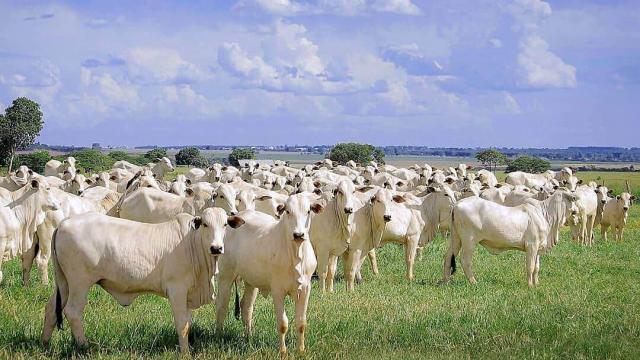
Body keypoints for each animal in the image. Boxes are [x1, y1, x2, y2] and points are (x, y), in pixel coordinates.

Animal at [40, 208, 245, 352]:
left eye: (225, 225)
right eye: (205, 224)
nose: (216, 248)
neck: (192, 243)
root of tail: (64, 223)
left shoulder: (187, 295)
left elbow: (188, 323)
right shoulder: (177, 290)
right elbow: (182, 324)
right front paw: (185, 353)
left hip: (64, 283)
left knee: (51, 309)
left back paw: (45, 343)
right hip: (80, 283)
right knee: (73, 311)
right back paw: (84, 346)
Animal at [216, 194, 324, 354]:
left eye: (308, 211)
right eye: (288, 211)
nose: (298, 234)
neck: (296, 253)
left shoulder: (305, 288)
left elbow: (301, 322)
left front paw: (301, 350)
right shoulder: (277, 290)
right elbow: (283, 323)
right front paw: (283, 351)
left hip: (251, 281)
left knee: (246, 307)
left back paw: (249, 337)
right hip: (226, 275)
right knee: (221, 306)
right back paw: (218, 336)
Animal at [442, 191, 576, 286]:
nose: (576, 212)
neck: (545, 214)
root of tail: (456, 205)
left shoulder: (538, 248)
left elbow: (537, 267)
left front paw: (537, 283)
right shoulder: (531, 245)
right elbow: (530, 266)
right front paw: (530, 285)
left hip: (455, 238)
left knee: (448, 257)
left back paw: (446, 281)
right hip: (469, 240)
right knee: (465, 260)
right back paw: (474, 282)